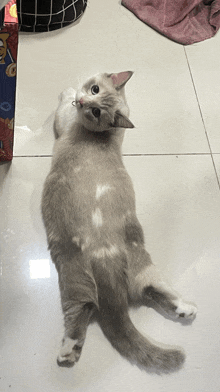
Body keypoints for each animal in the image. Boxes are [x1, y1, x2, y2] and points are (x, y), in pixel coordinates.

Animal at [41, 71, 198, 374]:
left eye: (96, 111)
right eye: (94, 89)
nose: (83, 101)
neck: (105, 135)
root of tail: (105, 257)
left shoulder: (62, 119)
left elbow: (63, 103)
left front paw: (68, 91)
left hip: (71, 278)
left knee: (80, 314)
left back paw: (67, 355)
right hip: (143, 266)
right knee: (152, 290)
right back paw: (186, 309)